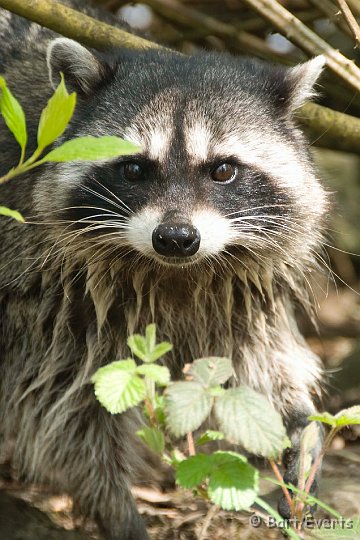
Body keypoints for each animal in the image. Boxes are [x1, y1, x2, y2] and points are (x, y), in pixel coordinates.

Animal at [0, 5, 326, 540]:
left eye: (223, 170)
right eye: (134, 170)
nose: (175, 238)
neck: (173, 273)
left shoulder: (235, 289)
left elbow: (259, 369)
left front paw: (300, 429)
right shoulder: (44, 294)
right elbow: (64, 409)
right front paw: (116, 509)